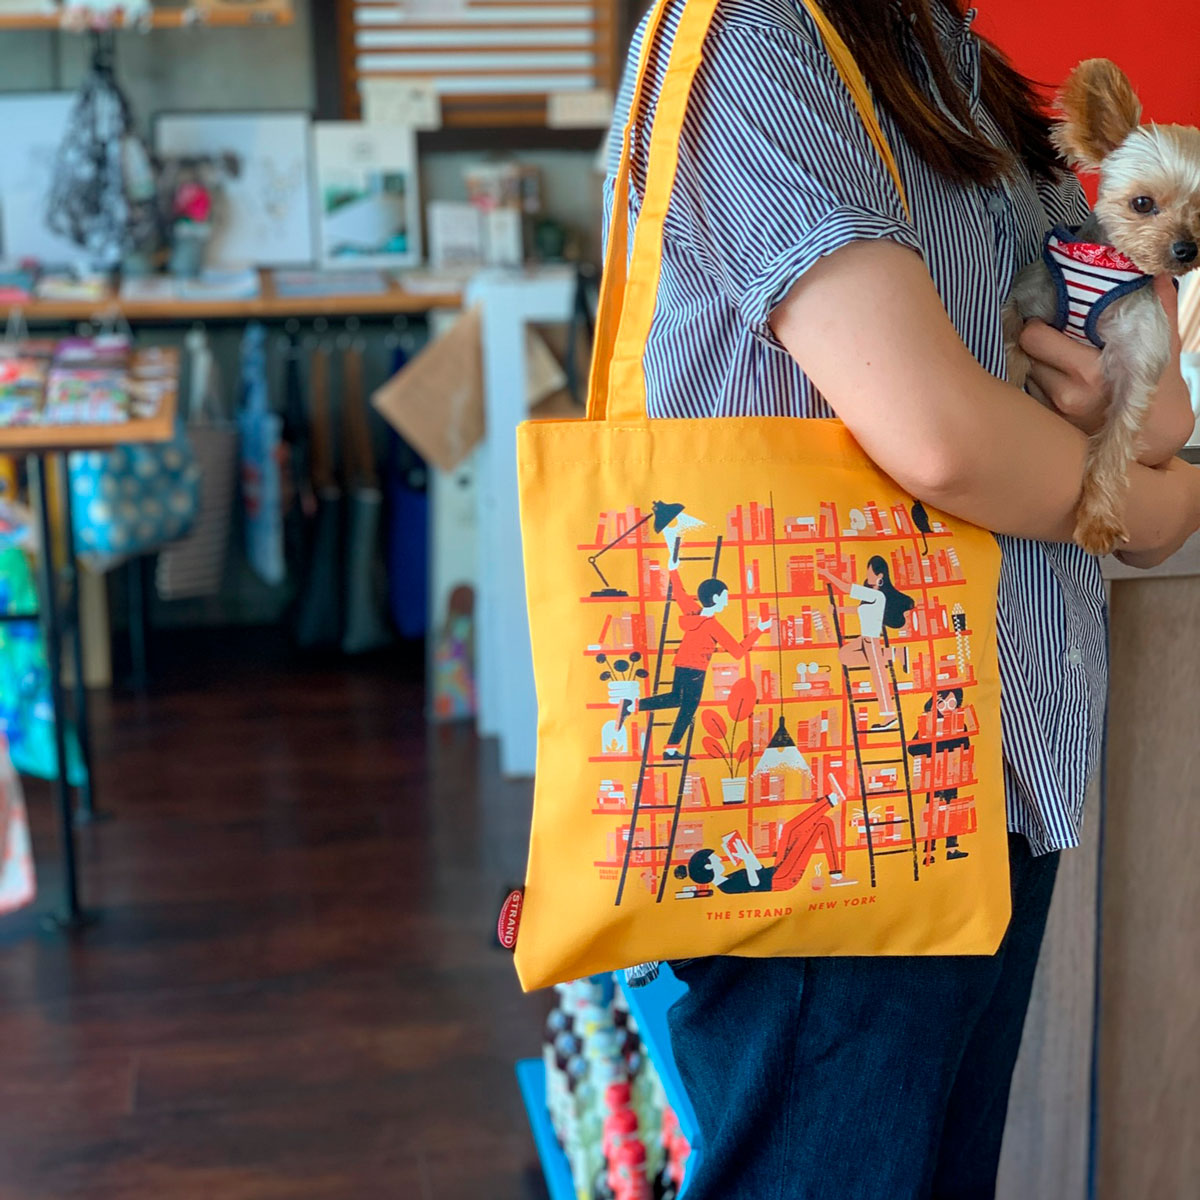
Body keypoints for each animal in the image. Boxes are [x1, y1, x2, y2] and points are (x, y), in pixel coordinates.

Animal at [1004, 59, 1200, 556]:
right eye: (1142, 203)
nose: (1186, 249)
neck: (1105, 266)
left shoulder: (1138, 366)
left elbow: (1115, 443)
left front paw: (1098, 520)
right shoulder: (1028, 295)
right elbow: (1011, 339)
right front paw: (1012, 378)